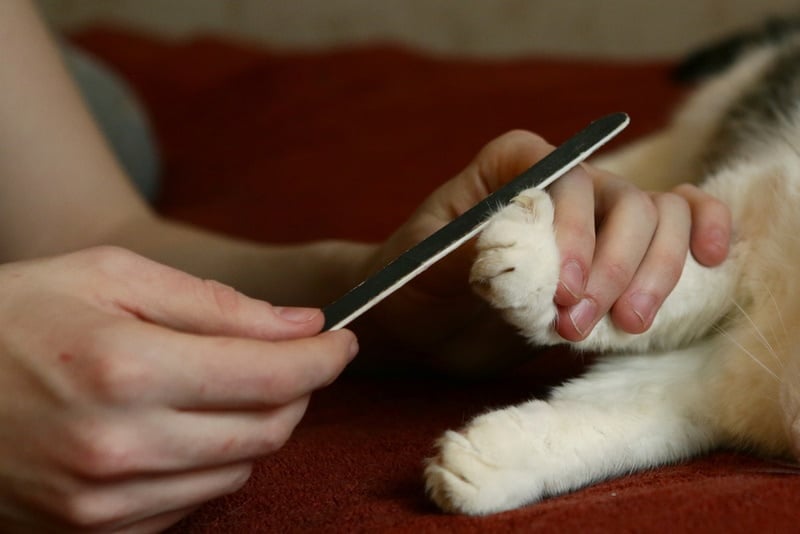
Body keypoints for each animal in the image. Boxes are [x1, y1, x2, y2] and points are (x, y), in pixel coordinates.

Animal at [422, 18, 800, 516]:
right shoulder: (739, 216)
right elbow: (689, 276)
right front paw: (542, 267)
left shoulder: (717, 386)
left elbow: (625, 421)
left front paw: (494, 461)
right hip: (724, 101)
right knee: (649, 154)